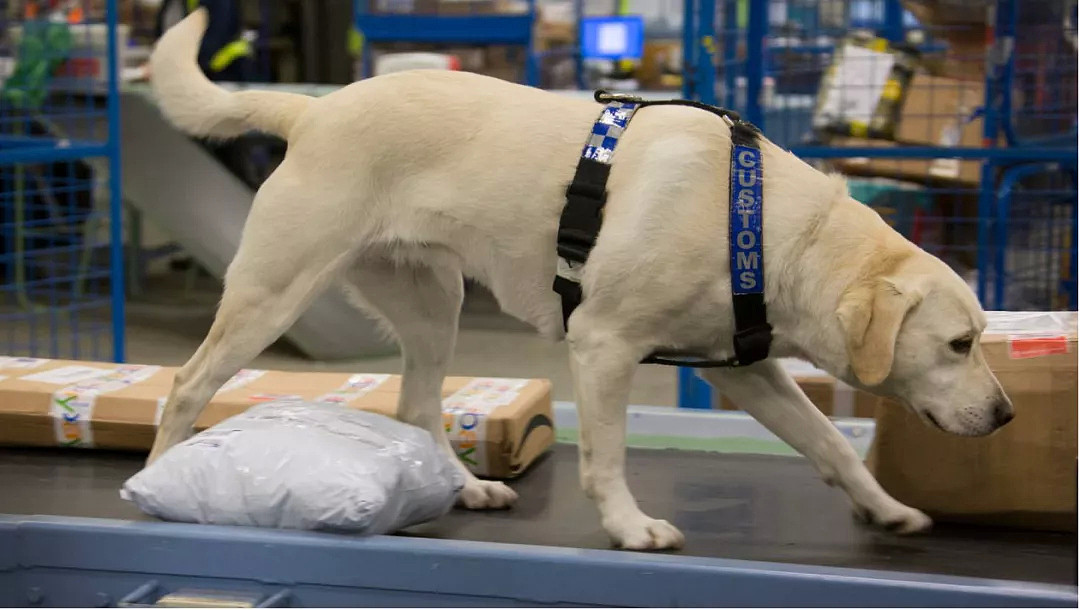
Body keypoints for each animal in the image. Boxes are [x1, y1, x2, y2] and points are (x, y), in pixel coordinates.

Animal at [150, 11, 1010, 548]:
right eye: (959, 344)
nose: (1005, 415)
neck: (768, 225)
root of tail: (312, 112)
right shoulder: (603, 347)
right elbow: (607, 458)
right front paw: (631, 529)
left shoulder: (748, 368)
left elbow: (829, 442)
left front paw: (885, 507)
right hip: (273, 292)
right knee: (189, 384)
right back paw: (160, 481)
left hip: (433, 306)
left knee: (417, 402)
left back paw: (464, 489)